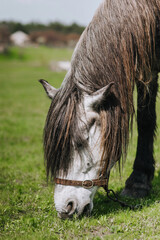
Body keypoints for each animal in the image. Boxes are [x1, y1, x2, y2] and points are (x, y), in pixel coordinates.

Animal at [39, 0, 160, 218]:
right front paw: (139, 182)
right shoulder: (148, 69)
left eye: (79, 143)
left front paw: (138, 182)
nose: (65, 208)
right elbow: (145, 120)